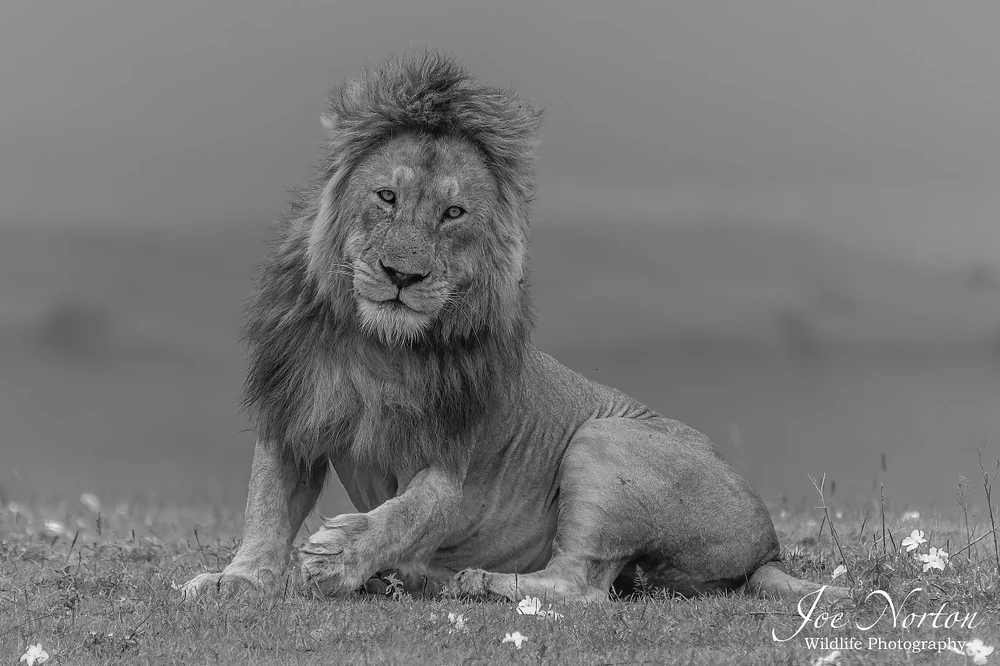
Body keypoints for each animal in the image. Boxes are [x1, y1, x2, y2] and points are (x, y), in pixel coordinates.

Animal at [181, 52, 849, 604]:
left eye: (454, 213)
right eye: (386, 196)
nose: (402, 274)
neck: (380, 349)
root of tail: (768, 548)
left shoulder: (457, 465)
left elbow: (408, 513)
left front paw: (341, 556)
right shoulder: (294, 413)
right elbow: (266, 506)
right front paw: (236, 579)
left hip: (602, 439)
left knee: (582, 586)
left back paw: (469, 580)